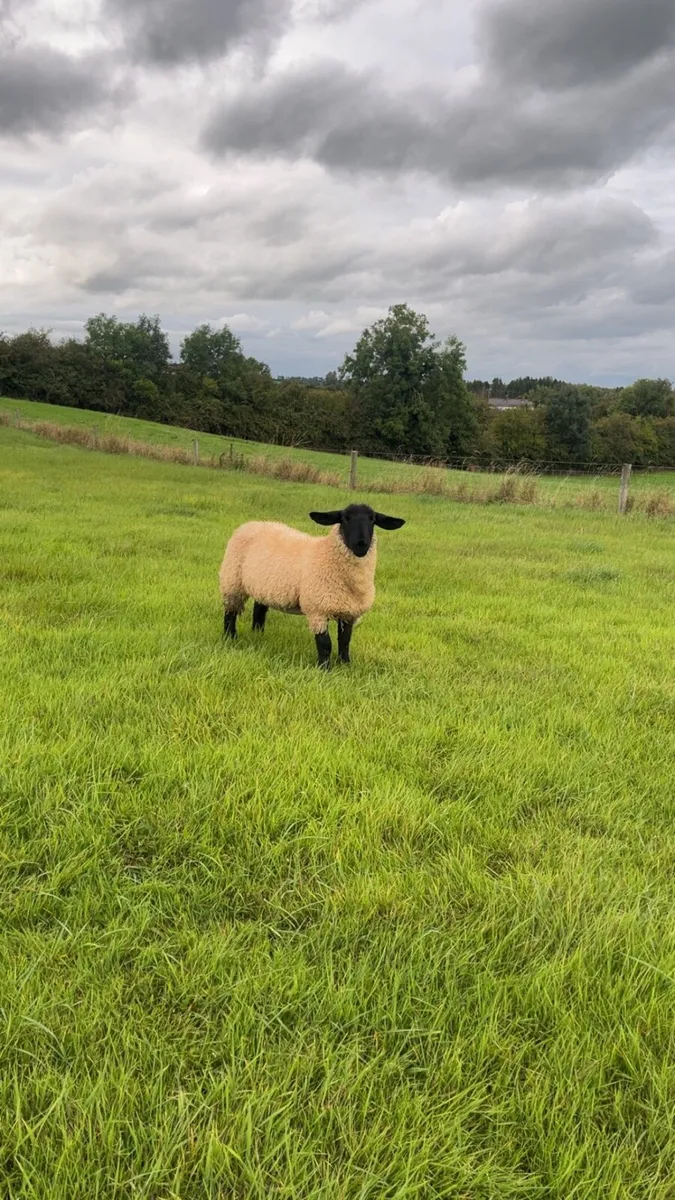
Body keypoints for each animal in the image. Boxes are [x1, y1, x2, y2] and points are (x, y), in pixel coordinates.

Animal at [218, 503, 405, 667]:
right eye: (345, 519)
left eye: (372, 519)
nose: (361, 544)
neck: (326, 554)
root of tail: (252, 523)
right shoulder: (318, 610)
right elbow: (325, 644)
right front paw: (324, 669)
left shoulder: (349, 612)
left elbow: (345, 641)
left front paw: (345, 664)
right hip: (232, 582)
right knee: (230, 613)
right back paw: (230, 637)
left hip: (264, 586)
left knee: (259, 609)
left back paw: (258, 634)